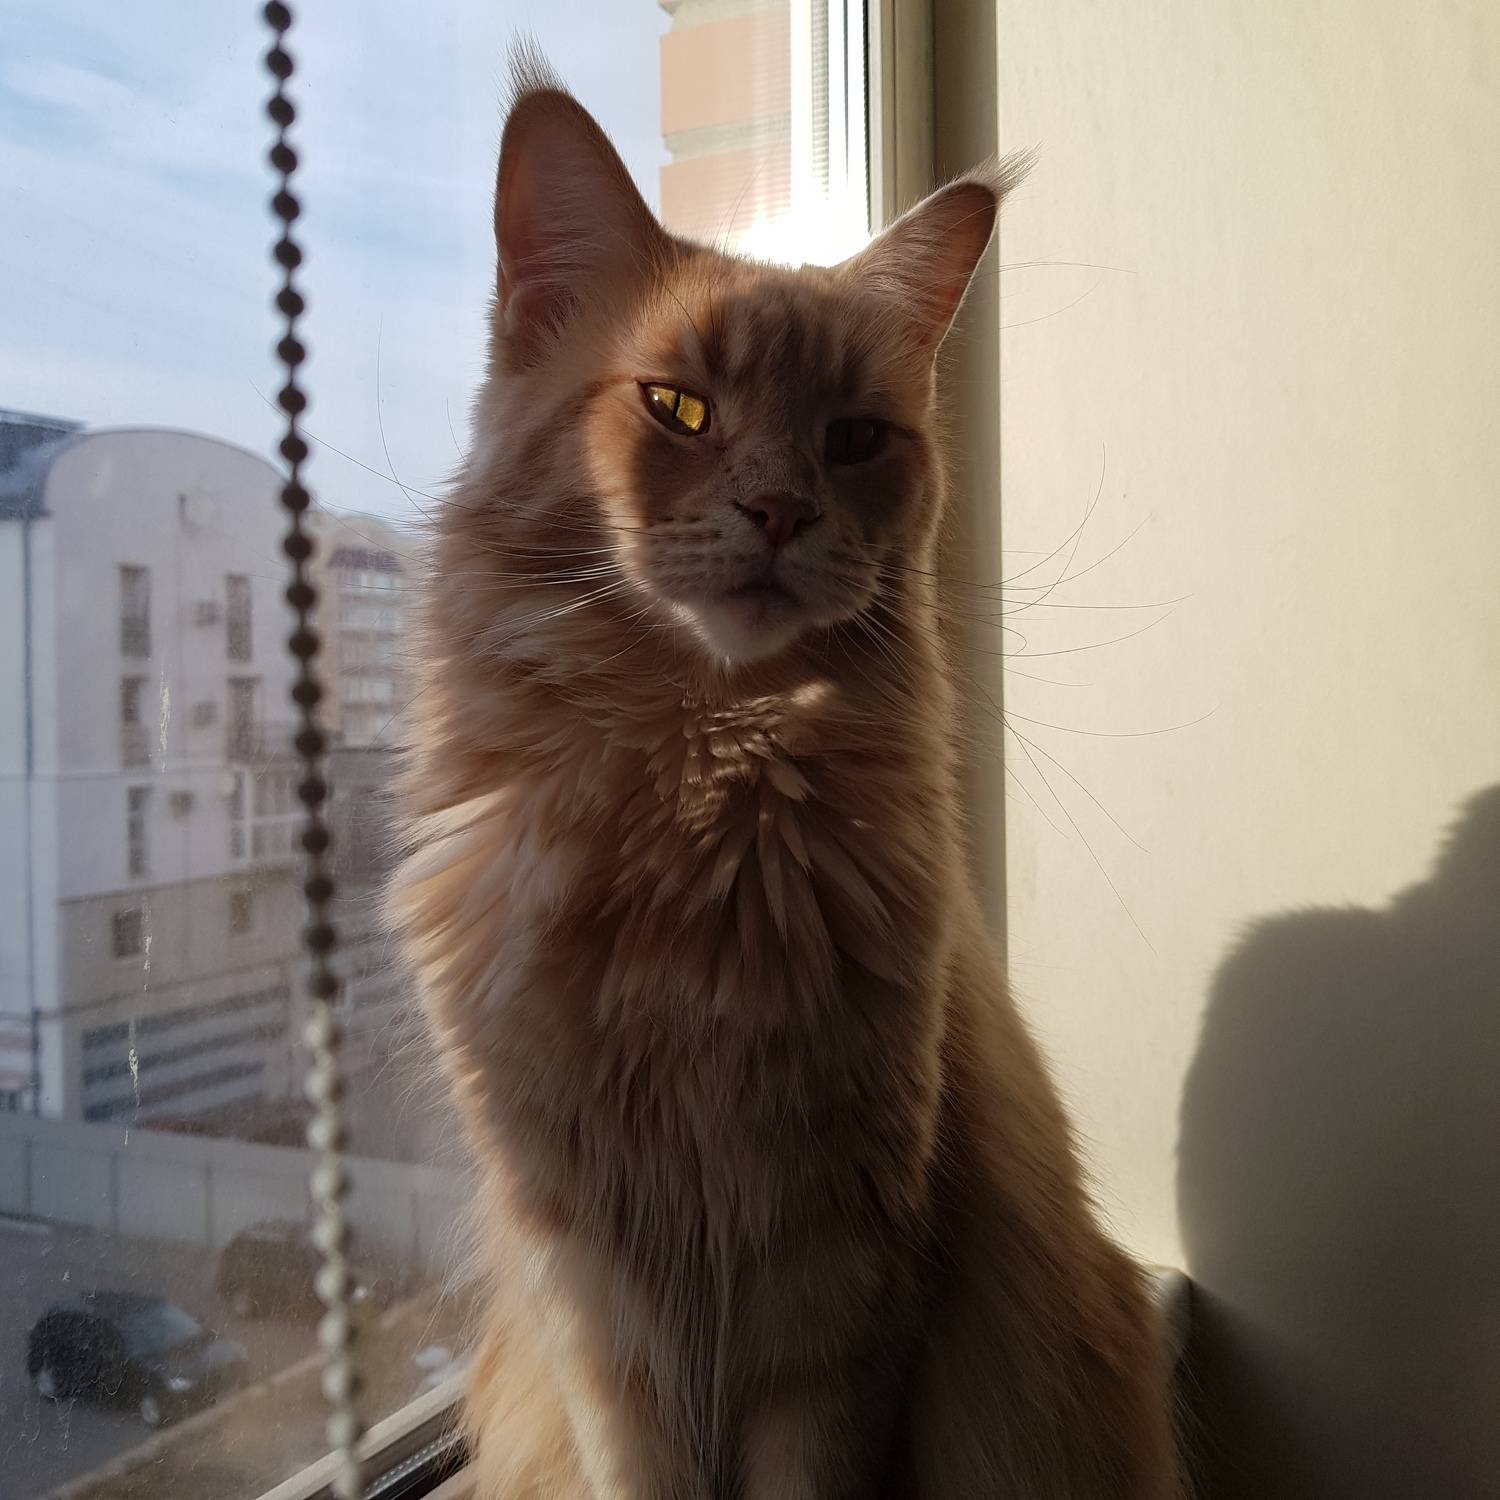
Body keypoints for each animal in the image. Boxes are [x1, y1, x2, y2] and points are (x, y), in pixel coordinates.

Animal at [390, 55, 1182, 1500]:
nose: (779, 510)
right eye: (679, 409)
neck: (697, 788)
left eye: (856, 438)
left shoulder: (844, 1262)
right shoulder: (592, 1276)